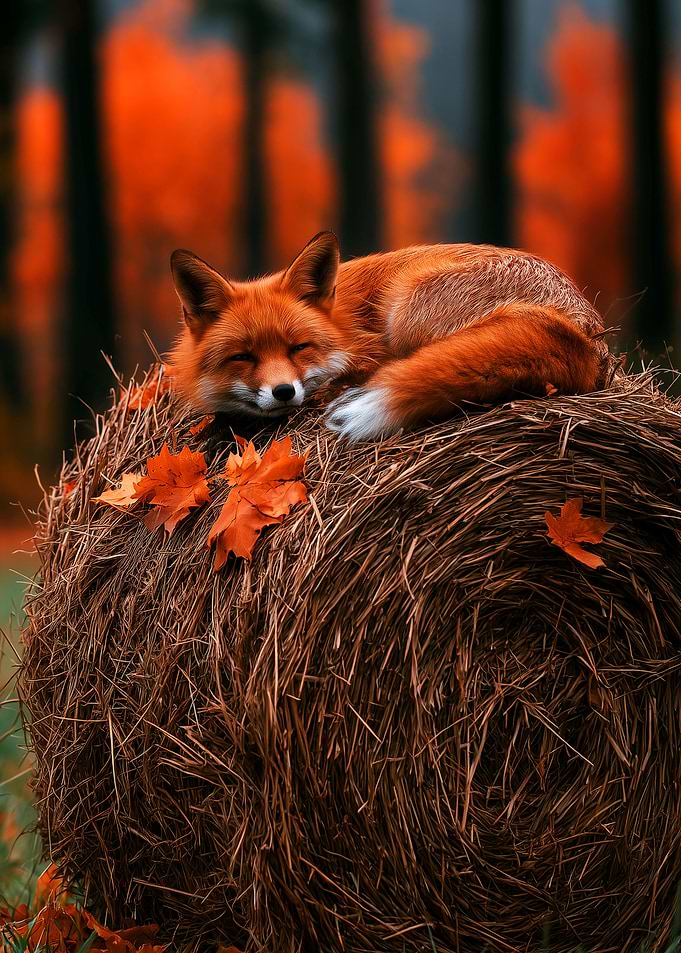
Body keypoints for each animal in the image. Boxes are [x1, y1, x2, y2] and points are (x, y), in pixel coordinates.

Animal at [168, 231, 609, 441]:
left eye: (299, 348)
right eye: (243, 357)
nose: (283, 392)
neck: (342, 323)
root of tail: (585, 336)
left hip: (406, 302)